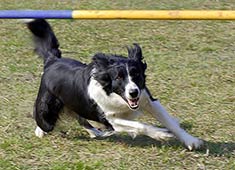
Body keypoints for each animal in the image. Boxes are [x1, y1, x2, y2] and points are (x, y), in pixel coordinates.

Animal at [25, 19, 202, 150]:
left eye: (136, 74)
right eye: (118, 77)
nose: (133, 93)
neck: (117, 96)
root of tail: (52, 60)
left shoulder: (148, 100)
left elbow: (170, 122)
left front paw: (191, 141)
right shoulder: (112, 119)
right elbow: (140, 125)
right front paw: (161, 134)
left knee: (80, 117)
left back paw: (96, 133)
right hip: (47, 111)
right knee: (43, 121)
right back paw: (40, 132)